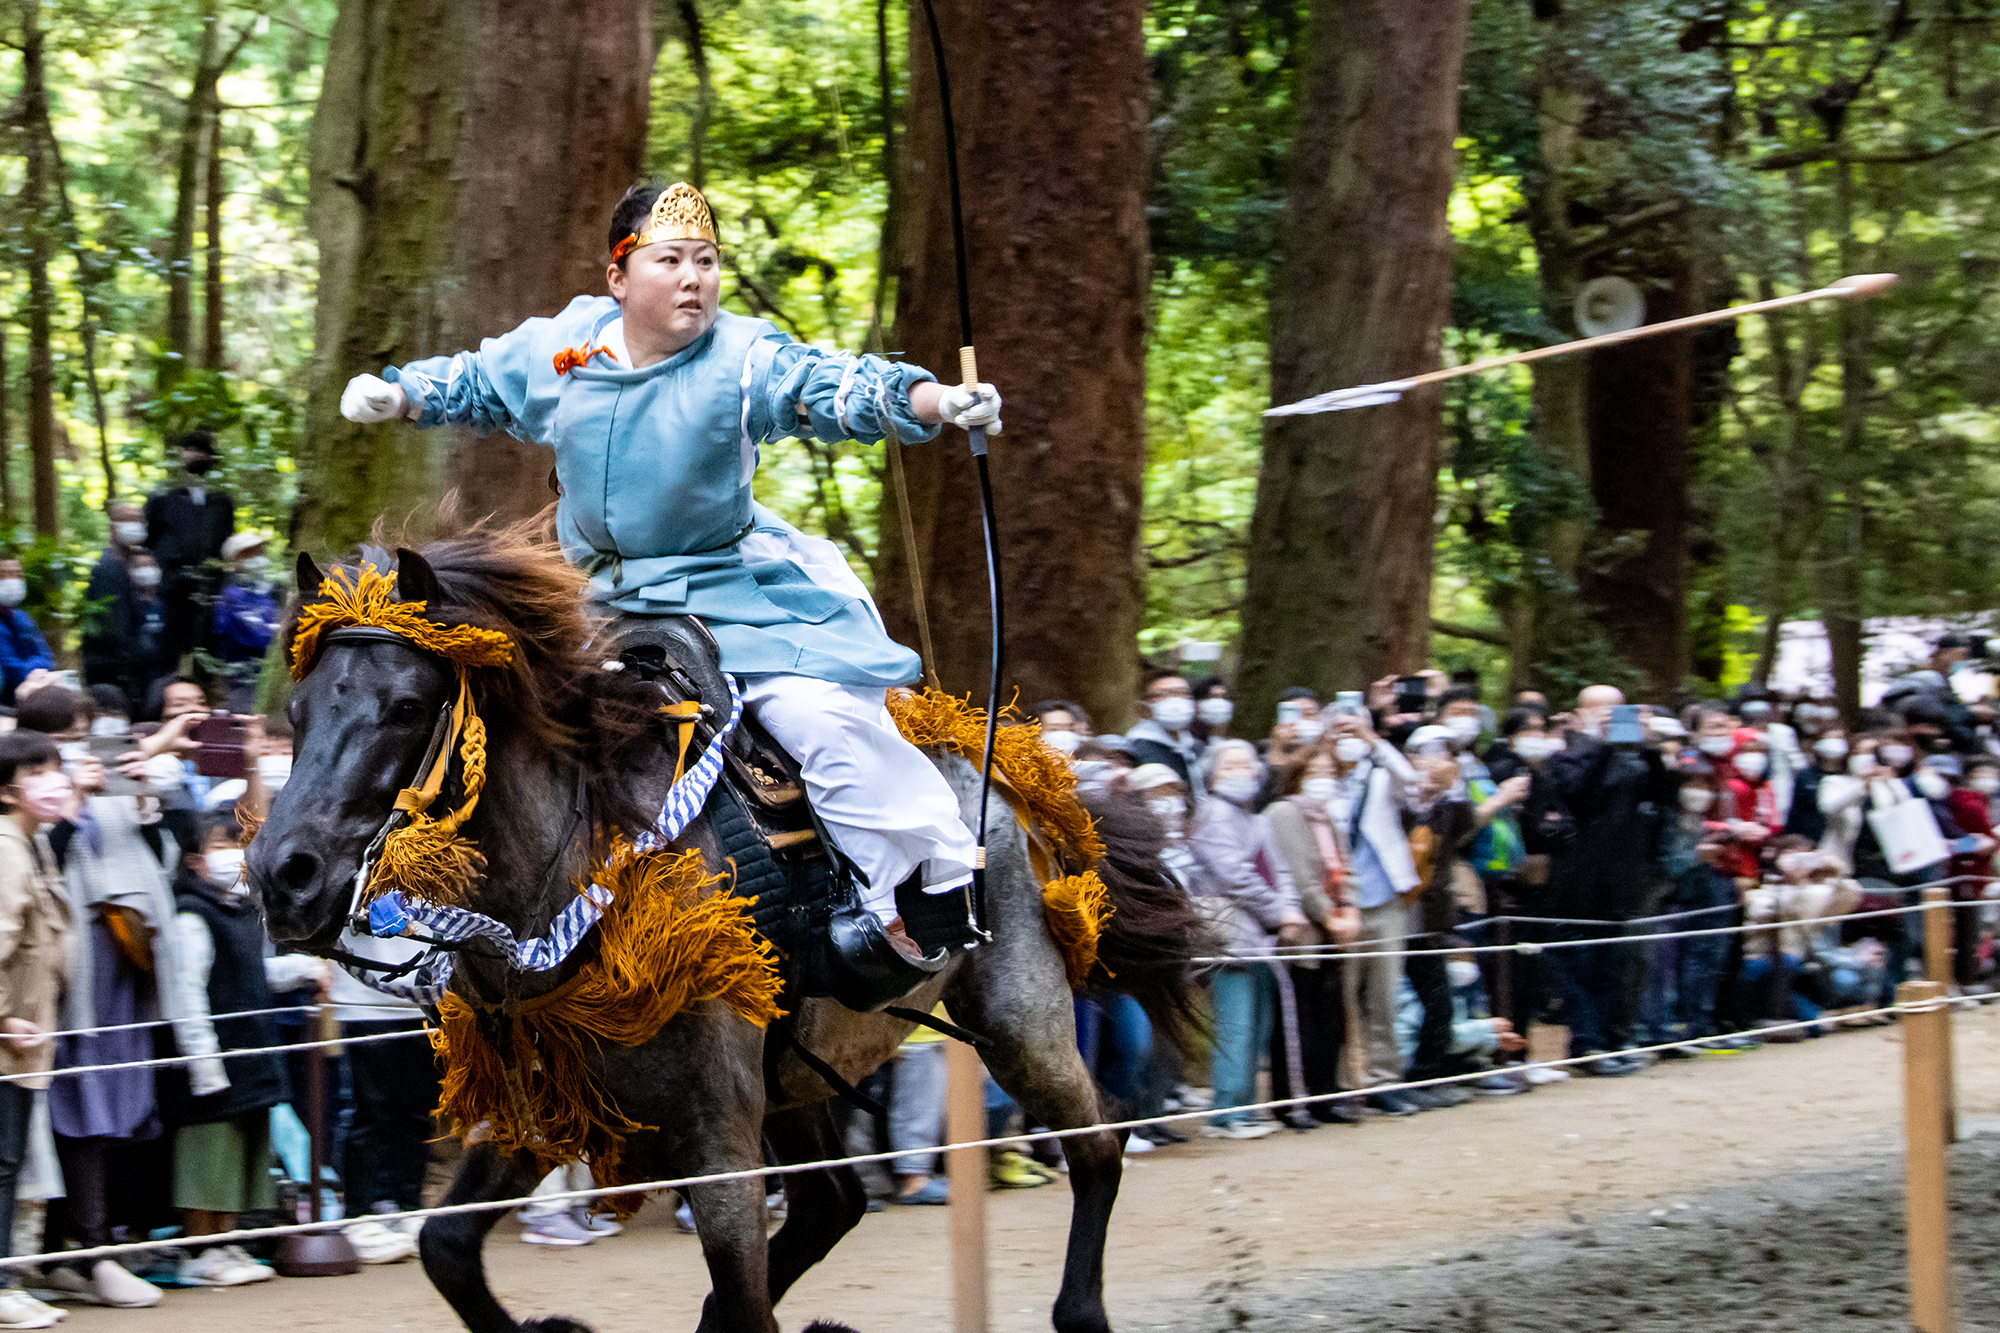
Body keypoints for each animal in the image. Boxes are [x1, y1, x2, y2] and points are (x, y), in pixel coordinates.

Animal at [242, 516, 1192, 1328]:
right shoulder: (551, 1099)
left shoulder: (718, 1140)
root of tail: (1005, 762)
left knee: (1099, 1142)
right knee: (833, 1201)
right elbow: (443, 1246)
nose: (280, 876)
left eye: (406, 706)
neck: (573, 877)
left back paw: (1082, 1307)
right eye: (296, 713)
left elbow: (740, 1292)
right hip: (802, 1068)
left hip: (1016, 1013)